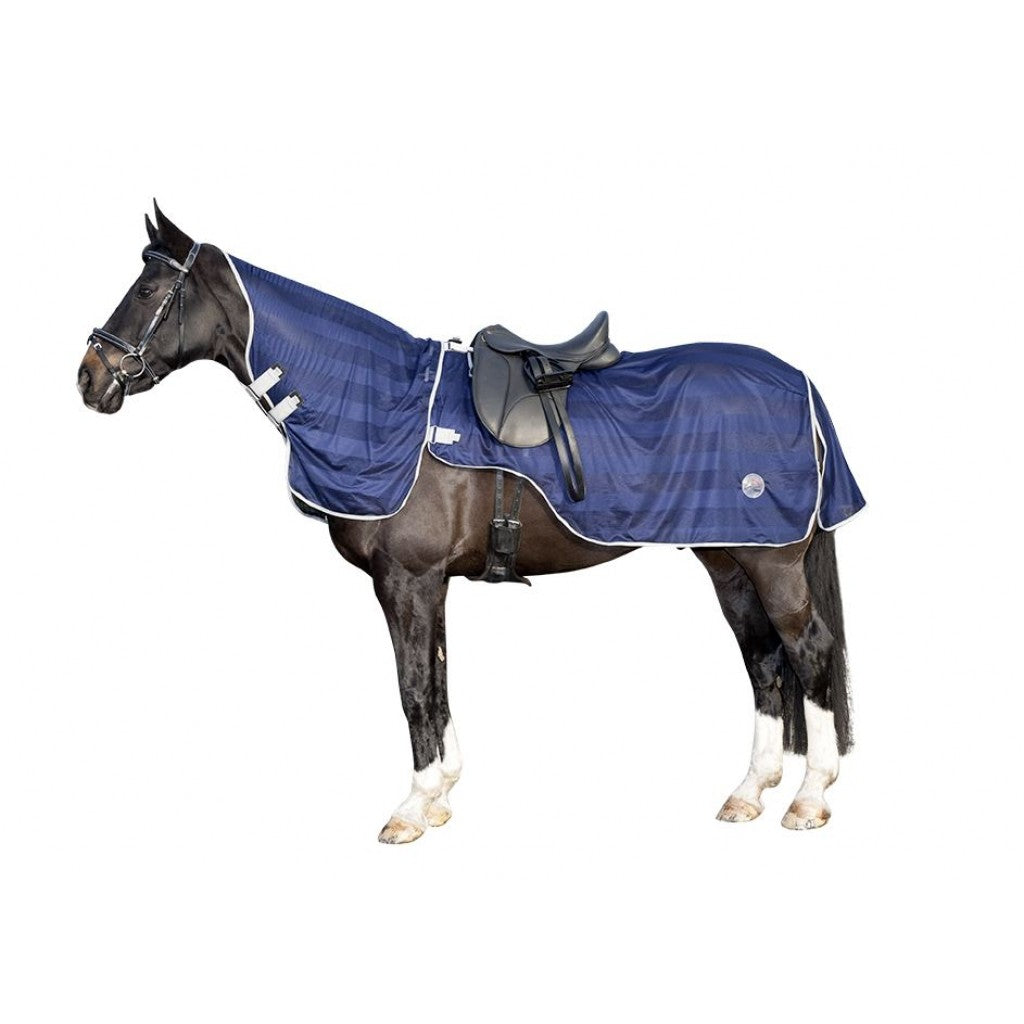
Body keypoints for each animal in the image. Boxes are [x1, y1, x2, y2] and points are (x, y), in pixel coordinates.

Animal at [77, 205, 863, 843]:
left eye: (146, 291)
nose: (89, 377)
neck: (380, 404)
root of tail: (800, 382)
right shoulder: (430, 583)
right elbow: (439, 676)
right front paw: (442, 794)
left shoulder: (407, 579)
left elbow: (413, 685)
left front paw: (411, 807)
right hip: (729, 557)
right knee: (764, 661)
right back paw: (749, 793)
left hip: (773, 563)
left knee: (810, 653)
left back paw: (809, 799)